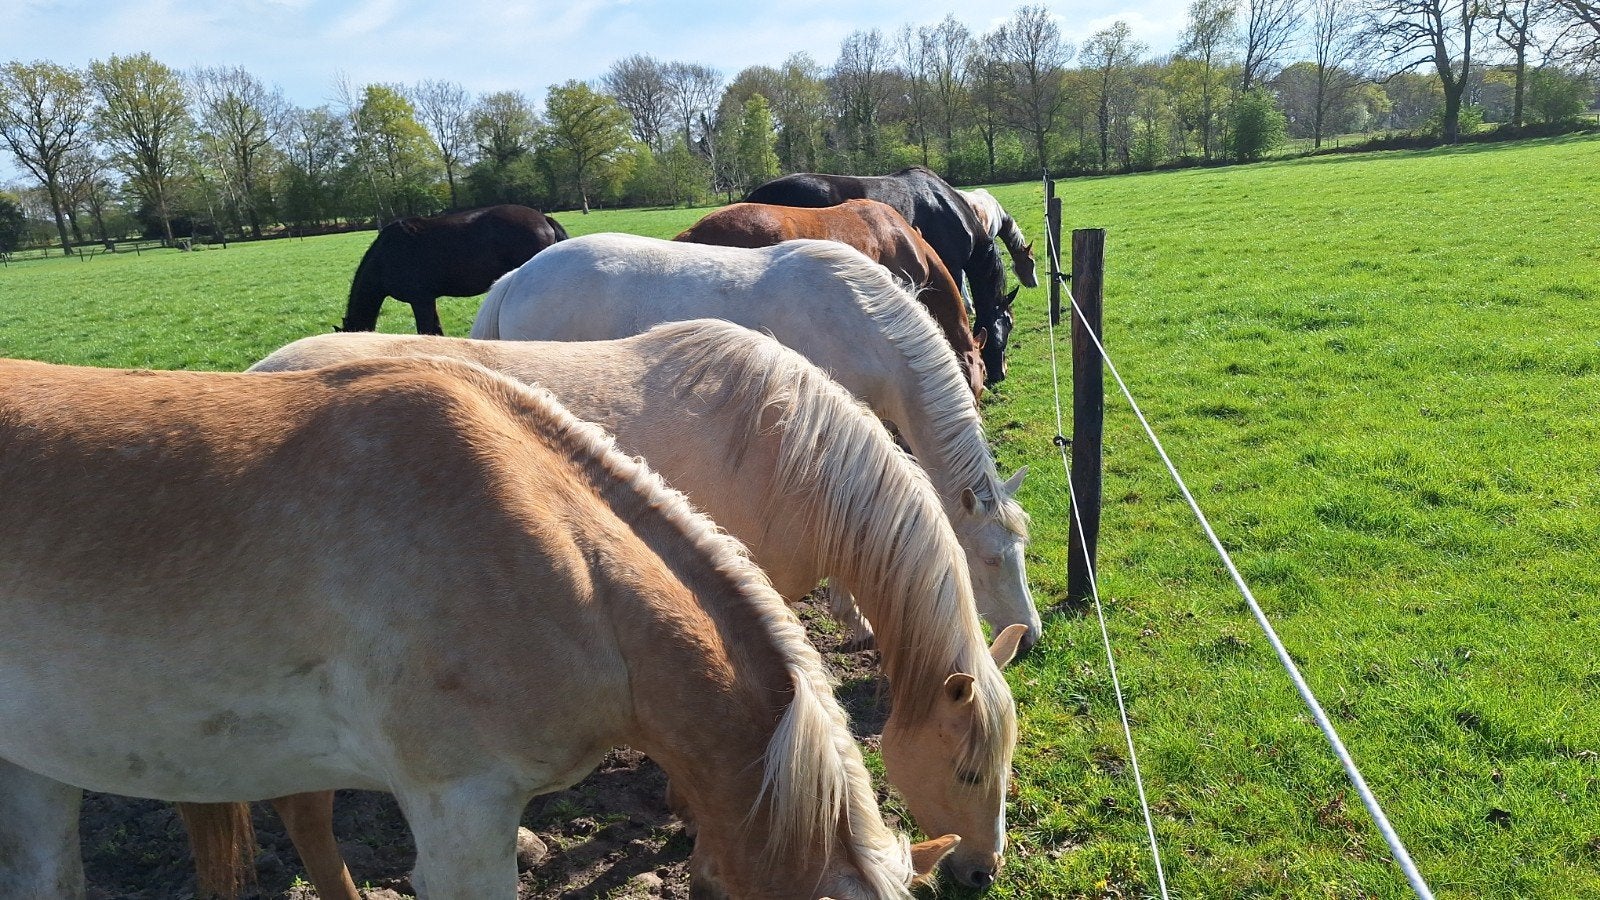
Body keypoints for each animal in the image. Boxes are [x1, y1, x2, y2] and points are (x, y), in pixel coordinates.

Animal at [472, 234, 1039, 650]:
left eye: (1023, 551)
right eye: (990, 559)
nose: (1029, 636)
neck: (861, 322)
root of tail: (518, 276)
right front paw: (857, 620)